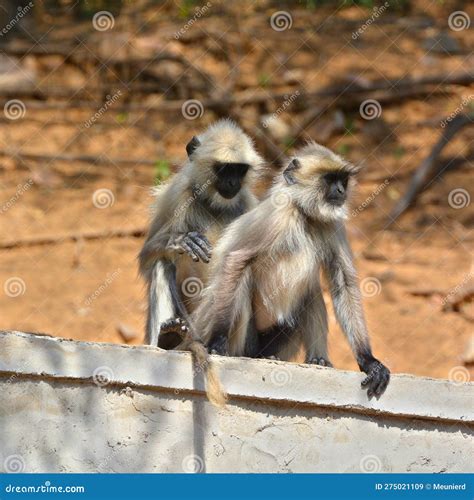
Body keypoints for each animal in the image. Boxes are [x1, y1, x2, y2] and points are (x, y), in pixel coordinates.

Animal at [192, 143, 388, 400]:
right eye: (329, 179)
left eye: (343, 180)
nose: (340, 190)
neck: (302, 212)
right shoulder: (277, 215)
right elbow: (236, 260)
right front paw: (218, 342)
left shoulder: (331, 223)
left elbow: (343, 282)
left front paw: (368, 360)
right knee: (242, 275)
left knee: (312, 291)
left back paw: (317, 360)